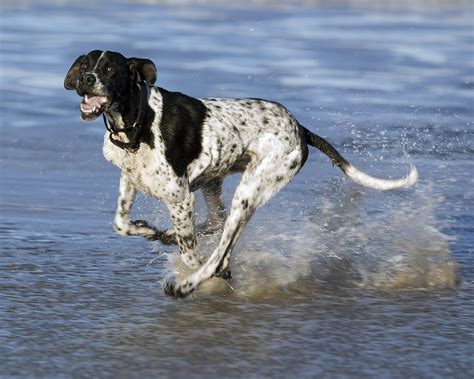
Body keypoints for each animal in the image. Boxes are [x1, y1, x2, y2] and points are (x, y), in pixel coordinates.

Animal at [65, 50, 416, 298]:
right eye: (85, 66)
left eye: (109, 69)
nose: (86, 80)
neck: (137, 120)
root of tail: (300, 129)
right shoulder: (131, 180)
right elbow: (121, 223)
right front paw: (149, 229)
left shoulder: (181, 198)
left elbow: (192, 254)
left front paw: (188, 267)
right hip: (215, 183)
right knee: (217, 225)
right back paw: (171, 238)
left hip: (246, 195)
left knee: (218, 251)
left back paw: (187, 284)